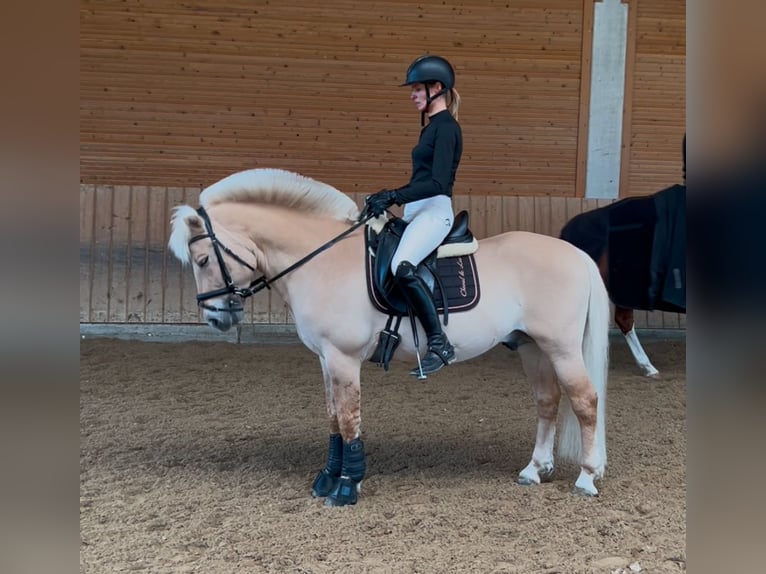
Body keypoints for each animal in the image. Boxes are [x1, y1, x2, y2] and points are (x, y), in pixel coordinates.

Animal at [170, 168, 612, 508]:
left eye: (204, 259)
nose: (216, 317)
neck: (322, 258)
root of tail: (574, 253)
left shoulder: (343, 357)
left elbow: (349, 418)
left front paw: (346, 486)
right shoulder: (325, 358)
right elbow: (333, 416)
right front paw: (327, 478)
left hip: (561, 347)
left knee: (585, 401)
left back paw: (587, 478)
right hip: (532, 347)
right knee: (548, 402)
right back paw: (534, 470)